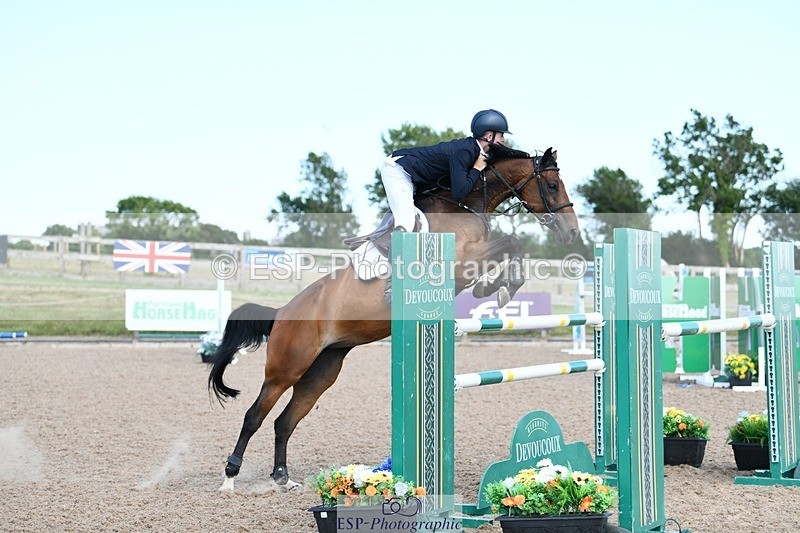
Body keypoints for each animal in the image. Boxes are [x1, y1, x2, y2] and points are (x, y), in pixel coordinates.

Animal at [208, 145, 580, 491]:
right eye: (551, 185)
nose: (572, 234)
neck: (465, 205)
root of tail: (282, 313)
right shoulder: (459, 264)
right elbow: (511, 242)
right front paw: (493, 288)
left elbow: (512, 248)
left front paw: (499, 287)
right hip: (286, 368)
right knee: (254, 415)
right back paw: (230, 476)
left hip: (321, 370)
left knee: (284, 421)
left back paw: (282, 478)